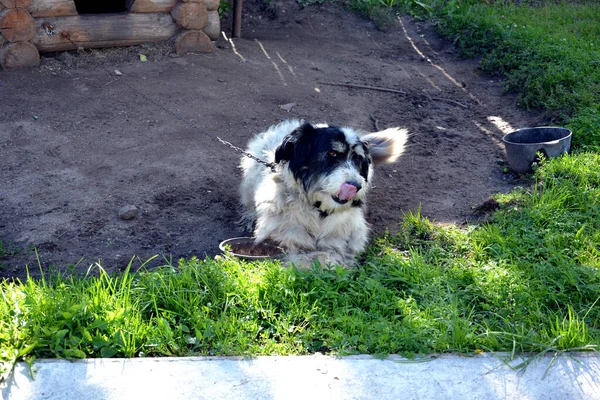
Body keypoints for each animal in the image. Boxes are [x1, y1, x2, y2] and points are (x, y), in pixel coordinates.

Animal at [239, 119, 408, 268]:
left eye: (358, 159)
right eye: (332, 154)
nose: (356, 186)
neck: (319, 209)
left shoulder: (346, 237)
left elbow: (332, 252)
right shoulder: (282, 236)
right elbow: (297, 252)